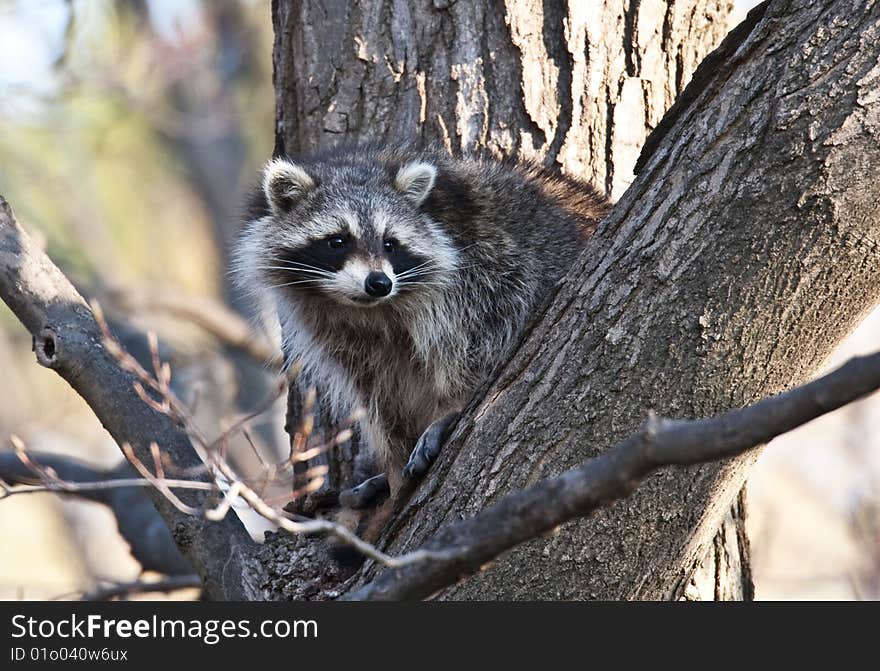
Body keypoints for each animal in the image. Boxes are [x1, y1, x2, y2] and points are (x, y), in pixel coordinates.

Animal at [230, 143, 608, 504]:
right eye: (337, 240)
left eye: (390, 243)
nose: (378, 283)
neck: (370, 309)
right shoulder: (333, 328)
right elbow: (375, 391)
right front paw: (393, 459)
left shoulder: (485, 273)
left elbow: (476, 343)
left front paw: (453, 405)